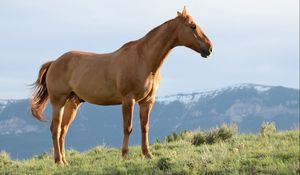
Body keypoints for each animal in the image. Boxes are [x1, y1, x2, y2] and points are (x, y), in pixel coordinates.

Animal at [31, 6, 213, 165]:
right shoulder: (128, 100)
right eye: (192, 26)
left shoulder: (147, 101)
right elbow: (128, 127)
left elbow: (145, 127)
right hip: (58, 101)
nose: (209, 48)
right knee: (55, 129)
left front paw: (147, 154)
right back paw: (58, 162)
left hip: (72, 103)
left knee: (63, 131)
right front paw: (125, 156)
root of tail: (54, 62)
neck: (144, 59)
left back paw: (65, 161)